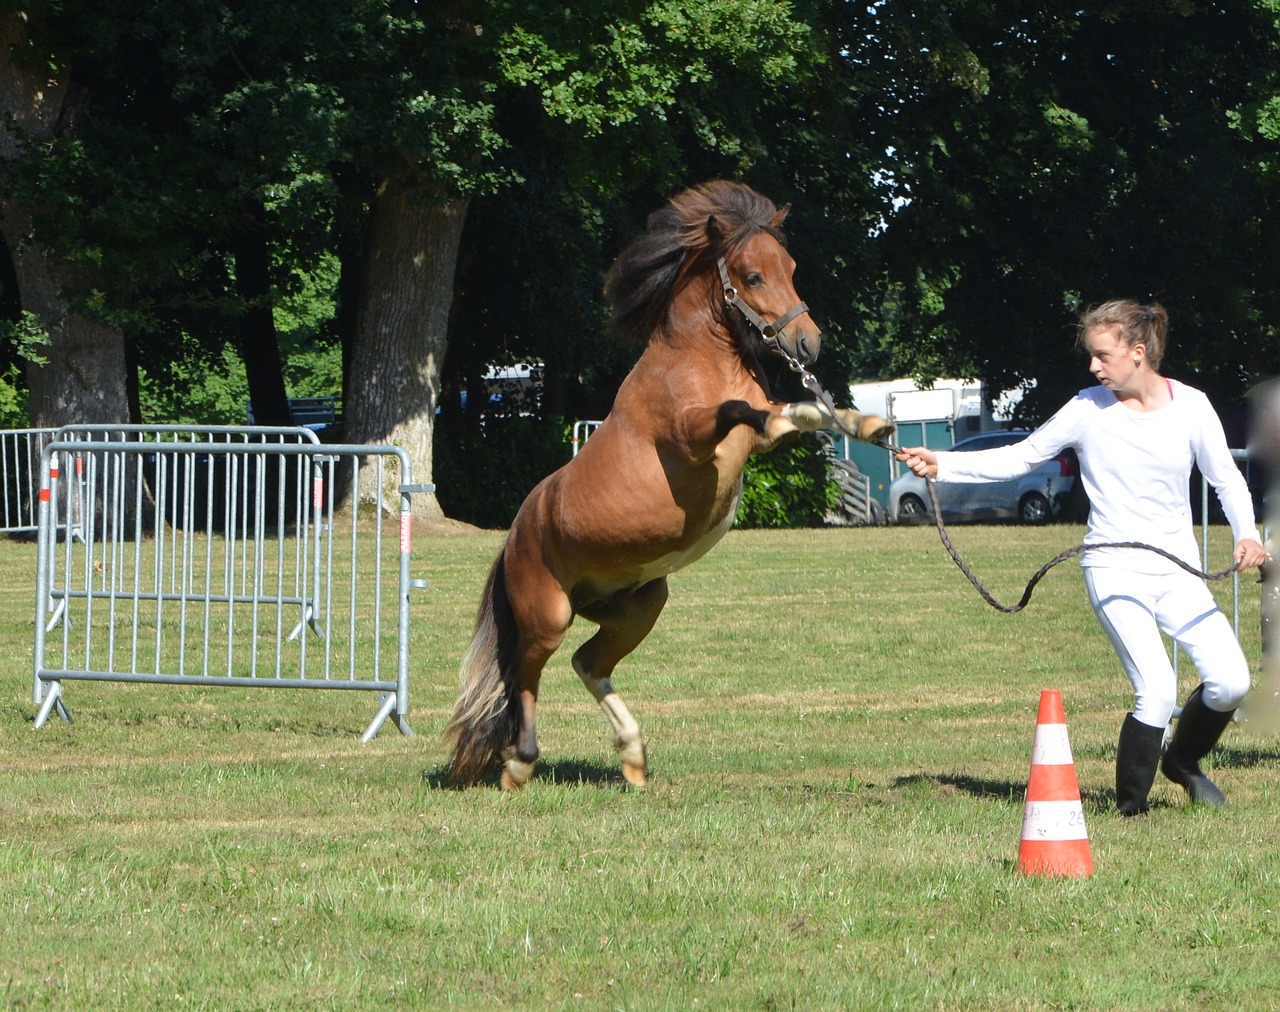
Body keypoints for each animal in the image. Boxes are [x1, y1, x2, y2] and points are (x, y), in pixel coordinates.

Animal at [445, 181, 896, 793]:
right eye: (753, 275)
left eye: (791, 267)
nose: (808, 344)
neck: (699, 359)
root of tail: (514, 538)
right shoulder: (691, 437)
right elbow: (749, 412)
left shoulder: (750, 441)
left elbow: (800, 411)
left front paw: (867, 424)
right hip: (548, 615)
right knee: (525, 675)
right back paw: (520, 763)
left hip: (639, 605)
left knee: (588, 663)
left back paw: (632, 757)